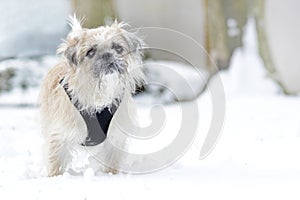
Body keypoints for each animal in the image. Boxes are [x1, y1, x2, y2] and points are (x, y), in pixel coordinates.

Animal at [38, 16, 145, 177]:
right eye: (90, 51)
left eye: (118, 48)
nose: (107, 55)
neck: (98, 96)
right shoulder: (59, 135)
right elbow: (55, 161)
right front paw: (55, 178)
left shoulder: (115, 137)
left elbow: (112, 161)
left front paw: (112, 176)